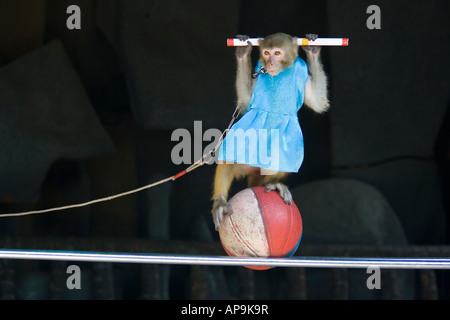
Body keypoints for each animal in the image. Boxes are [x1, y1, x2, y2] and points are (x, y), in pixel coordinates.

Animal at [211, 33, 330, 230]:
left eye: (277, 53)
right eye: (266, 53)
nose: (271, 63)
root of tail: (256, 170)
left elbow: (317, 101)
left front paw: (312, 49)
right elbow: (246, 101)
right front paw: (243, 51)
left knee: (283, 157)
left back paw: (273, 183)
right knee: (230, 156)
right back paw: (219, 202)